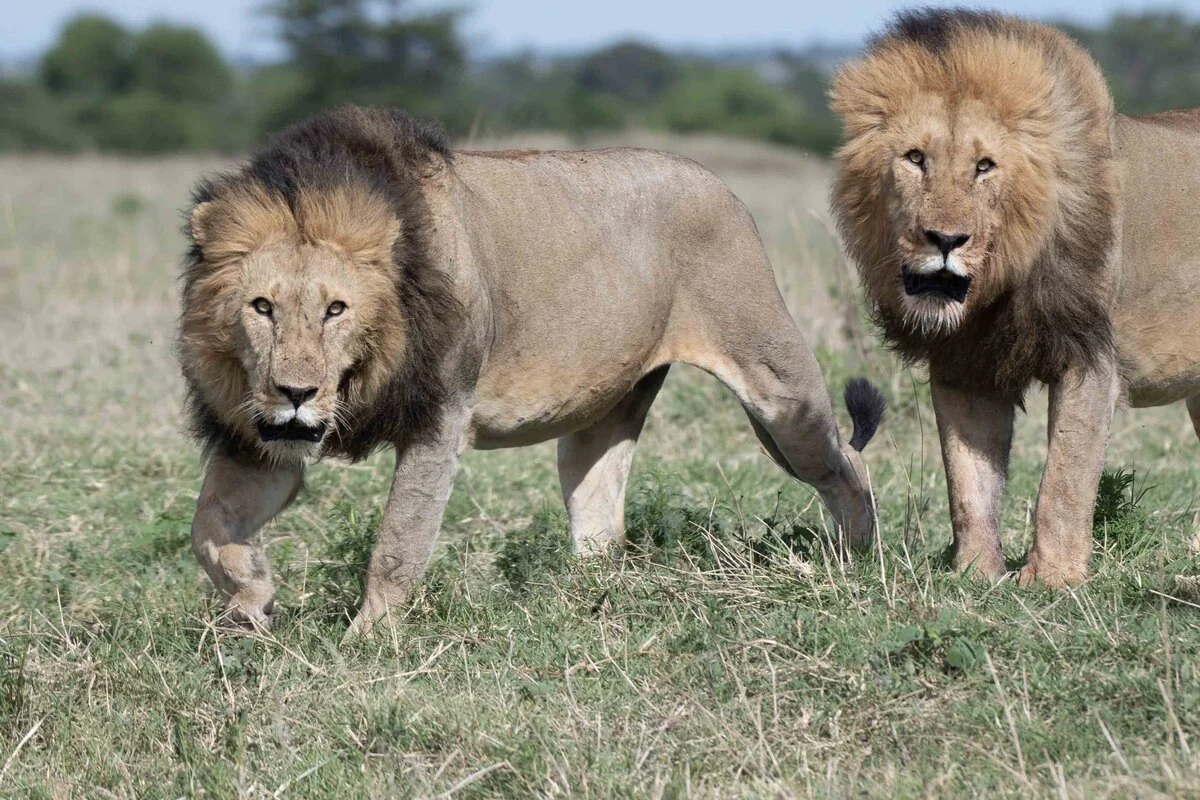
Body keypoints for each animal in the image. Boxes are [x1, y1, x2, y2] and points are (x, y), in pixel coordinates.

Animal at [179, 105, 885, 632]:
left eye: (336, 309)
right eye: (261, 307)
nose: (297, 392)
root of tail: (718, 182)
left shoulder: (440, 420)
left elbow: (397, 548)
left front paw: (364, 649)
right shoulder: (257, 434)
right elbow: (208, 527)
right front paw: (253, 600)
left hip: (776, 387)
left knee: (845, 467)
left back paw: (854, 564)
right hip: (606, 412)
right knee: (599, 517)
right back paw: (583, 605)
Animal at [831, 9, 1200, 586]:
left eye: (985, 165)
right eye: (915, 158)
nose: (945, 240)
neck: (998, 287)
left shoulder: (1089, 356)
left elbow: (1065, 480)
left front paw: (1053, 580)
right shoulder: (965, 366)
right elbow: (967, 482)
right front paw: (974, 575)